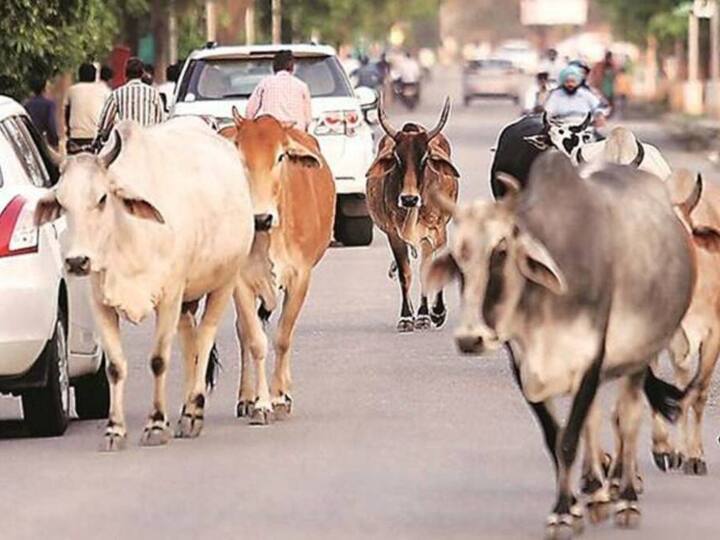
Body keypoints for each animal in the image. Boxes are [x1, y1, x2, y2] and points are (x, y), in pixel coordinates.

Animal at [36, 119, 258, 452]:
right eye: (61, 202)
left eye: (102, 199)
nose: (77, 261)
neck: (128, 236)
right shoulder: (100, 303)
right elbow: (115, 367)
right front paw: (114, 430)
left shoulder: (169, 298)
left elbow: (158, 361)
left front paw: (155, 425)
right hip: (188, 300)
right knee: (190, 344)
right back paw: (186, 411)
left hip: (225, 280)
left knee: (205, 339)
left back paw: (193, 412)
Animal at [221, 108, 336, 422]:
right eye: (240, 156)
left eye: (281, 156)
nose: (261, 218)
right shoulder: (240, 282)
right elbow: (255, 340)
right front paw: (261, 403)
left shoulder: (301, 278)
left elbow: (283, 337)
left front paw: (278, 397)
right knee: (243, 332)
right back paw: (246, 398)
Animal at [366, 98, 462, 332]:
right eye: (397, 158)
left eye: (425, 158)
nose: (409, 199)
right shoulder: (394, 234)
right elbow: (405, 274)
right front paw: (407, 316)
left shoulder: (436, 232)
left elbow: (427, 270)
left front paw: (431, 314)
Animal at [428, 153, 696, 540]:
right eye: (458, 260)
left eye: (501, 250)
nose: (470, 339)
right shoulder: (524, 365)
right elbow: (556, 436)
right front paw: (571, 508)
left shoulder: (591, 358)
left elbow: (569, 440)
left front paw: (563, 514)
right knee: (595, 419)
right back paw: (597, 493)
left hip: (640, 354)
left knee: (628, 418)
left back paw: (626, 498)